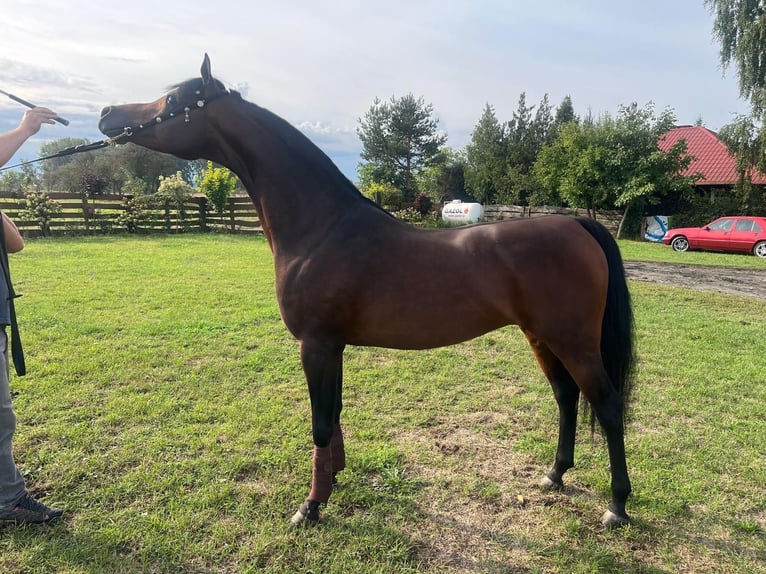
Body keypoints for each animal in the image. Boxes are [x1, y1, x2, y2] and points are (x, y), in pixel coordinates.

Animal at [99, 54, 637, 528]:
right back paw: (554, 475)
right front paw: (333, 481)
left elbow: (319, 422)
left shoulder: (315, 344)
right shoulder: (332, 346)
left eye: (172, 100)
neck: (322, 227)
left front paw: (310, 508)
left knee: (608, 407)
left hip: (573, 341)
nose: (107, 114)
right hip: (540, 336)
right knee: (566, 397)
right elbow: (333, 417)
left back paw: (616, 506)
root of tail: (577, 224)